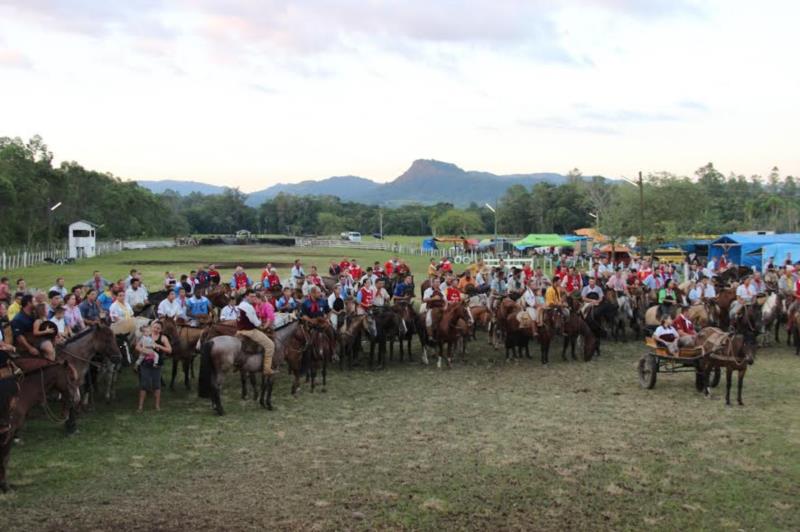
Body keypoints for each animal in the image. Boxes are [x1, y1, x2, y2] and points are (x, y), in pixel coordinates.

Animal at [0, 360, 81, 492]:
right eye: (72, 378)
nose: (77, 399)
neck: (17, 395)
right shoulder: (8, 433)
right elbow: (4, 458)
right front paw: (5, 486)